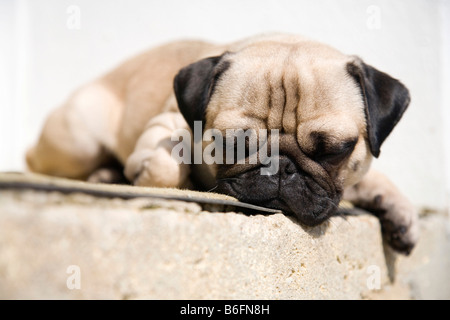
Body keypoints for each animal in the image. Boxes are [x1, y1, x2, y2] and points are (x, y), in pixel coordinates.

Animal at [24, 33, 418, 254]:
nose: (281, 166)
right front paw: (150, 173)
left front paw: (397, 210)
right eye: (234, 144)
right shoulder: (166, 123)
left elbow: (373, 179)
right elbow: (164, 163)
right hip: (79, 139)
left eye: (334, 150)